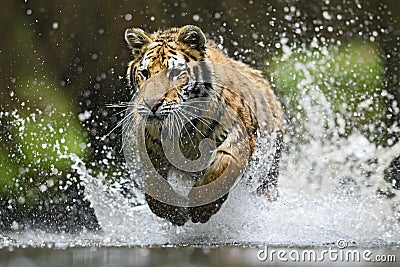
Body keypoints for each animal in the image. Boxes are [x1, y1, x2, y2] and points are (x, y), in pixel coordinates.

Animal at [123, 25, 282, 226]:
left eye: (174, 73)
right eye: (145, 73)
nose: (151, 104)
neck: (182, 131)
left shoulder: (240, 137)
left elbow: (224, 164)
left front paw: (201, 208)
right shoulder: (150, 150)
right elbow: (154, 186)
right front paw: (174, 213)